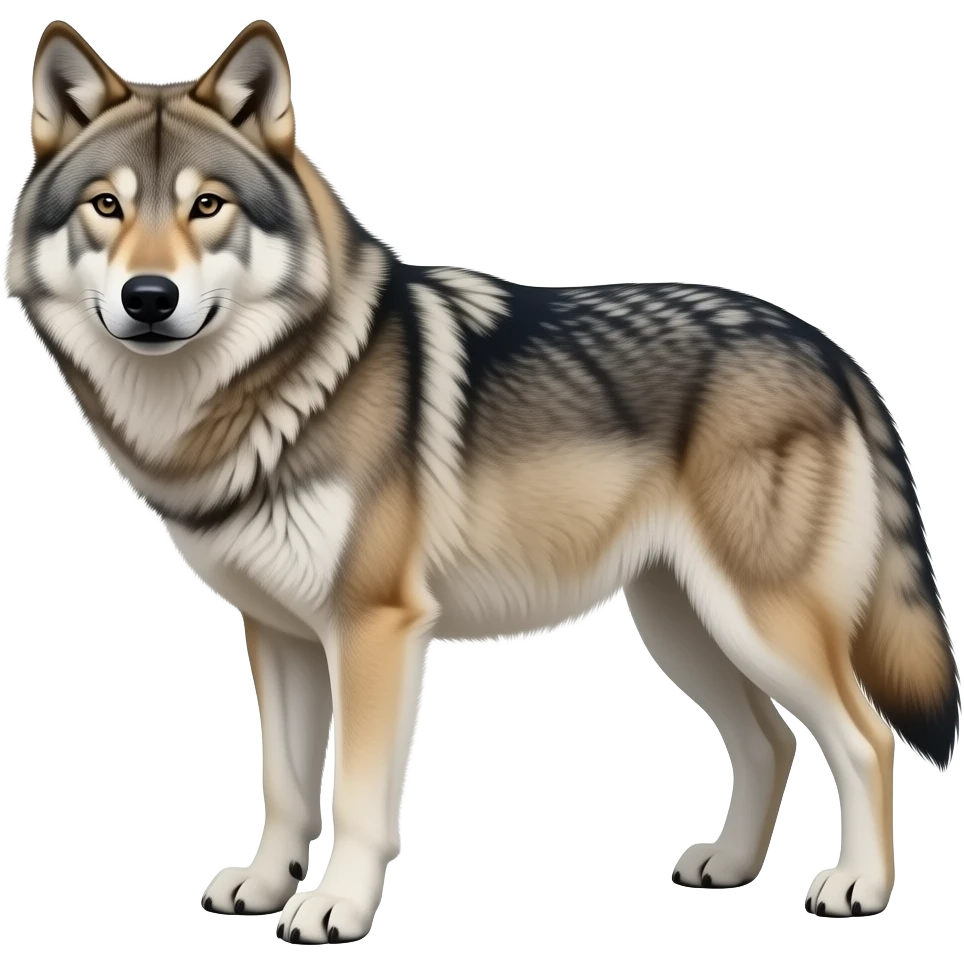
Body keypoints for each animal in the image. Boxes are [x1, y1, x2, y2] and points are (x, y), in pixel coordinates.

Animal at [5, 16, 959, 941]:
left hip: (758, 622)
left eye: (207, 205)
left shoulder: (374, 629)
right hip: (685, 625)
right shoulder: (277, 632)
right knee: (771, 740)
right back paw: (727, 867)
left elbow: (356, 796)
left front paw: (335, 909)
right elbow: (285, 786)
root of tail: (830, 350)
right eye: (105, 206)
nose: (150, 297)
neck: (273, 390)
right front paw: (266, 886)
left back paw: (857, 887)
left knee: (865, 739)